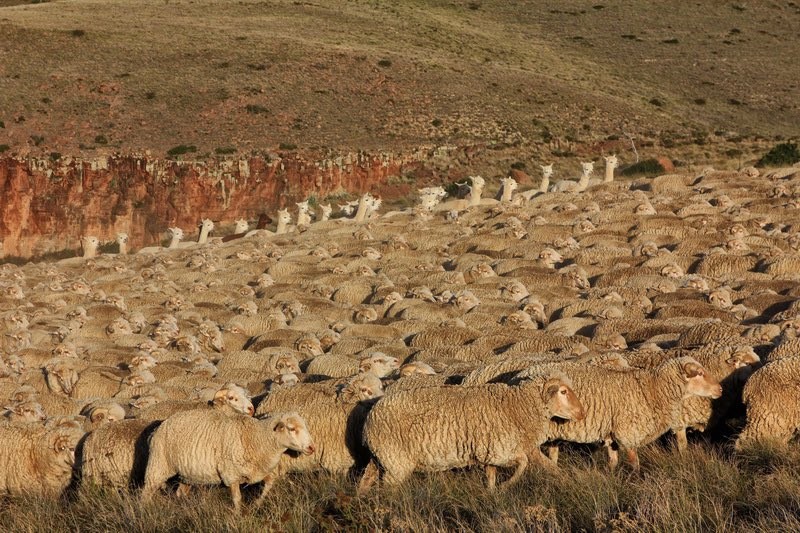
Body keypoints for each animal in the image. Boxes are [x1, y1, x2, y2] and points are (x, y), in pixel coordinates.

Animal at [141, 410, 316, 510]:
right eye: (292, 428)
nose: (312, 447)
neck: (257, 438)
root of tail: (158, 428)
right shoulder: (231, 475)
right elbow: (237, 499)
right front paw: (238, 515)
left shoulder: (259, 472)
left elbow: (269, 484)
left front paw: (257, 504)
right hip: (158, 465)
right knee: (146, 493)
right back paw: (146, 511)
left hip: (187, 475)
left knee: (179, 492)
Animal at [360, 368, 584, 488]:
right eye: (563, 391)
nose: (581, 413)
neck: (517, 406)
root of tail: (369, 420)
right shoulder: (502, 451)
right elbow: (523, 464)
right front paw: (505, 486)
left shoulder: (490, 452)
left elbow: (493, 474)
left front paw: (492, 492)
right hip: (397, 461)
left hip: (381, 458)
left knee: (365, 482)